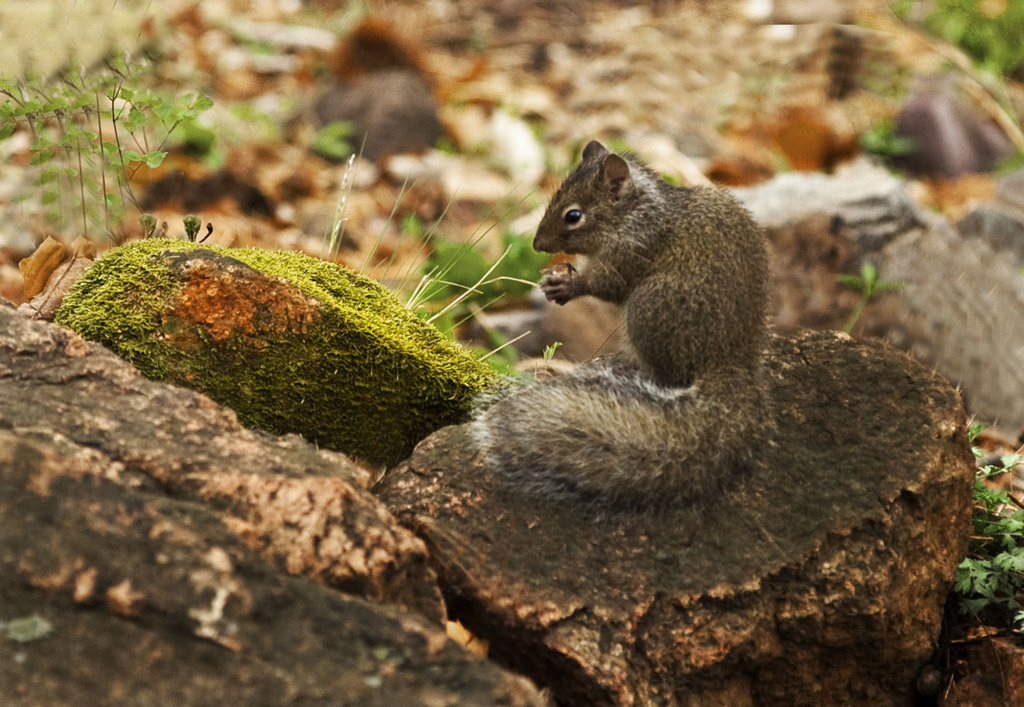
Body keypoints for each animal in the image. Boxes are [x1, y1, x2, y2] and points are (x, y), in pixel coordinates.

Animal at [471, 141, 770, 506]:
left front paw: (568, 285)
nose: (538, 245)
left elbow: (609, 285)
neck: (634, 213)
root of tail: (731, 357)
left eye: (573, 215)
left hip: (647, 310)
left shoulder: (632, 251)